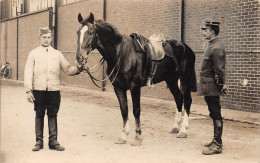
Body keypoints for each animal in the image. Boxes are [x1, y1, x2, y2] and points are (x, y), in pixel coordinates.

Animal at [76, 12, 196, 145]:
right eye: (78, 33)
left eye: (91, 32)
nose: (79, 58)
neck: (121, 54)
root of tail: (185, 47)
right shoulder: (118, 88)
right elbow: (124, 110)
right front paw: (123, 136)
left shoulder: (135, 87)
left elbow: (136, 110)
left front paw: (138, 136)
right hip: (171, 80)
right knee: (179, 98)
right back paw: (175, 127)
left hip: (184, 78)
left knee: (187, 100)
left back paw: (183, 130)